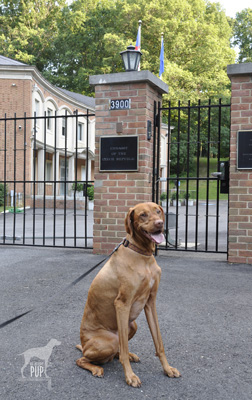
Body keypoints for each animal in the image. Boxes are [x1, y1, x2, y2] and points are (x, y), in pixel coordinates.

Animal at [76, 202, 180, 386]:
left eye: (158, 211)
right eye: (143, 214)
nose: (160, 223)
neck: (142, 254)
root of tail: (84, 345)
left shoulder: (150, 303)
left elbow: (159, 343)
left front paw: (167, 369)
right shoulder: (122, 304)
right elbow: (124, 349)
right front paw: (130, 376)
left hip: (132, 325)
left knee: (116, 352)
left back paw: (129, 356)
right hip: (110, 340)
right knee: (84, 358)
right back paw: (96, 368)